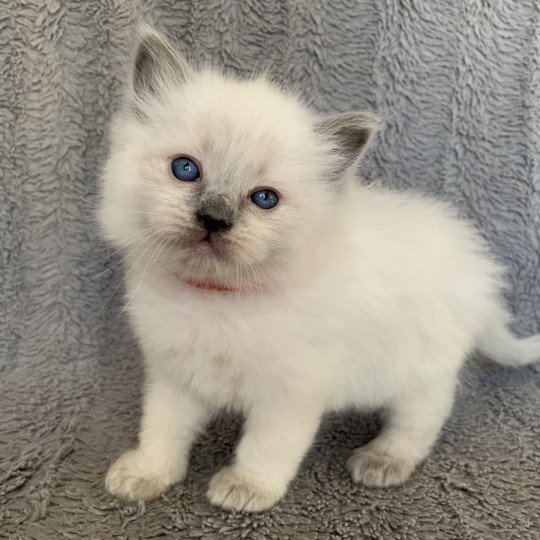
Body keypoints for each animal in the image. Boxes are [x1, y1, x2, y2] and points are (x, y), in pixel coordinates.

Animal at [99, 26, 540, 516]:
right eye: (185, 169)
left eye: (264, 198)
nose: (214, 218)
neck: (216, 300)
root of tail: (477, 264)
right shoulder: (173, 376)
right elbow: (162, 430)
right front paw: (146, 475)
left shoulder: (291, 393)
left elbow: (266, 447)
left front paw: (246, 489)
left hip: (423, 371)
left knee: (423, 419)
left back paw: (384, 460)